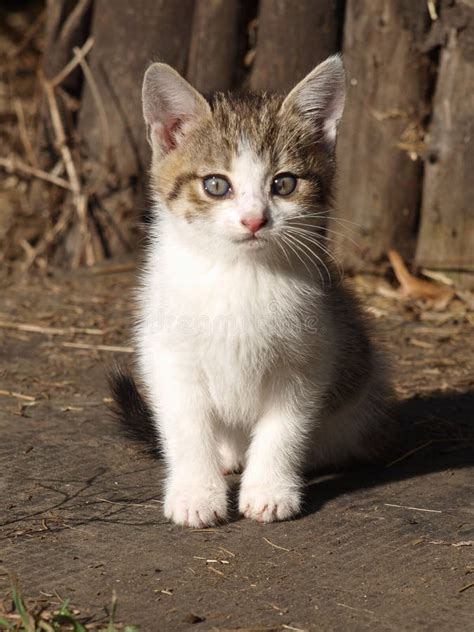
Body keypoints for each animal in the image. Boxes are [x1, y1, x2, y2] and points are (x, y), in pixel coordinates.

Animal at [109, 54, 390, 528]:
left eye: (284, 183)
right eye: (215, 185)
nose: (255, 219)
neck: (239, 275)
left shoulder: (310, 357)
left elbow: (284, 428)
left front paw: (270, 490)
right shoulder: (168, 355)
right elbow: (185, 426)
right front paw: (196, 492)